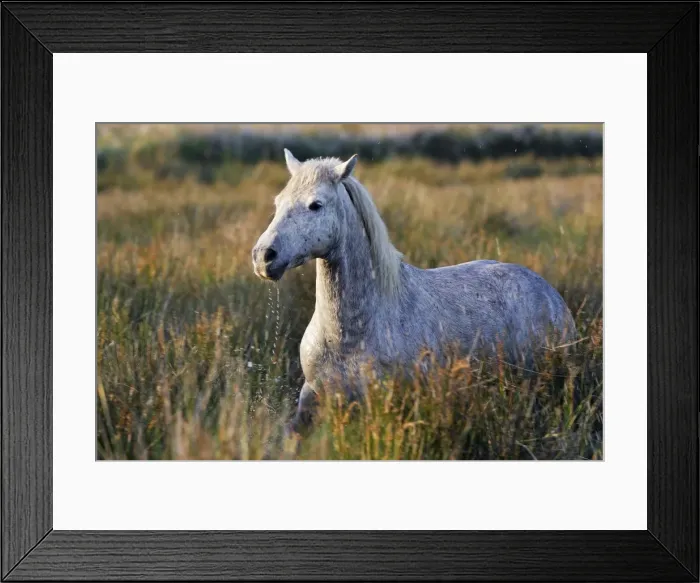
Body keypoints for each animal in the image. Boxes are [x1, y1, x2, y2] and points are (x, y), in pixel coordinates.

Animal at [252, 149, 577, 431]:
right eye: (278, 202)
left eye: (315, 205)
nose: (263, 256)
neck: (348, 334)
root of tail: (551, 295)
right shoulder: (313, 397)